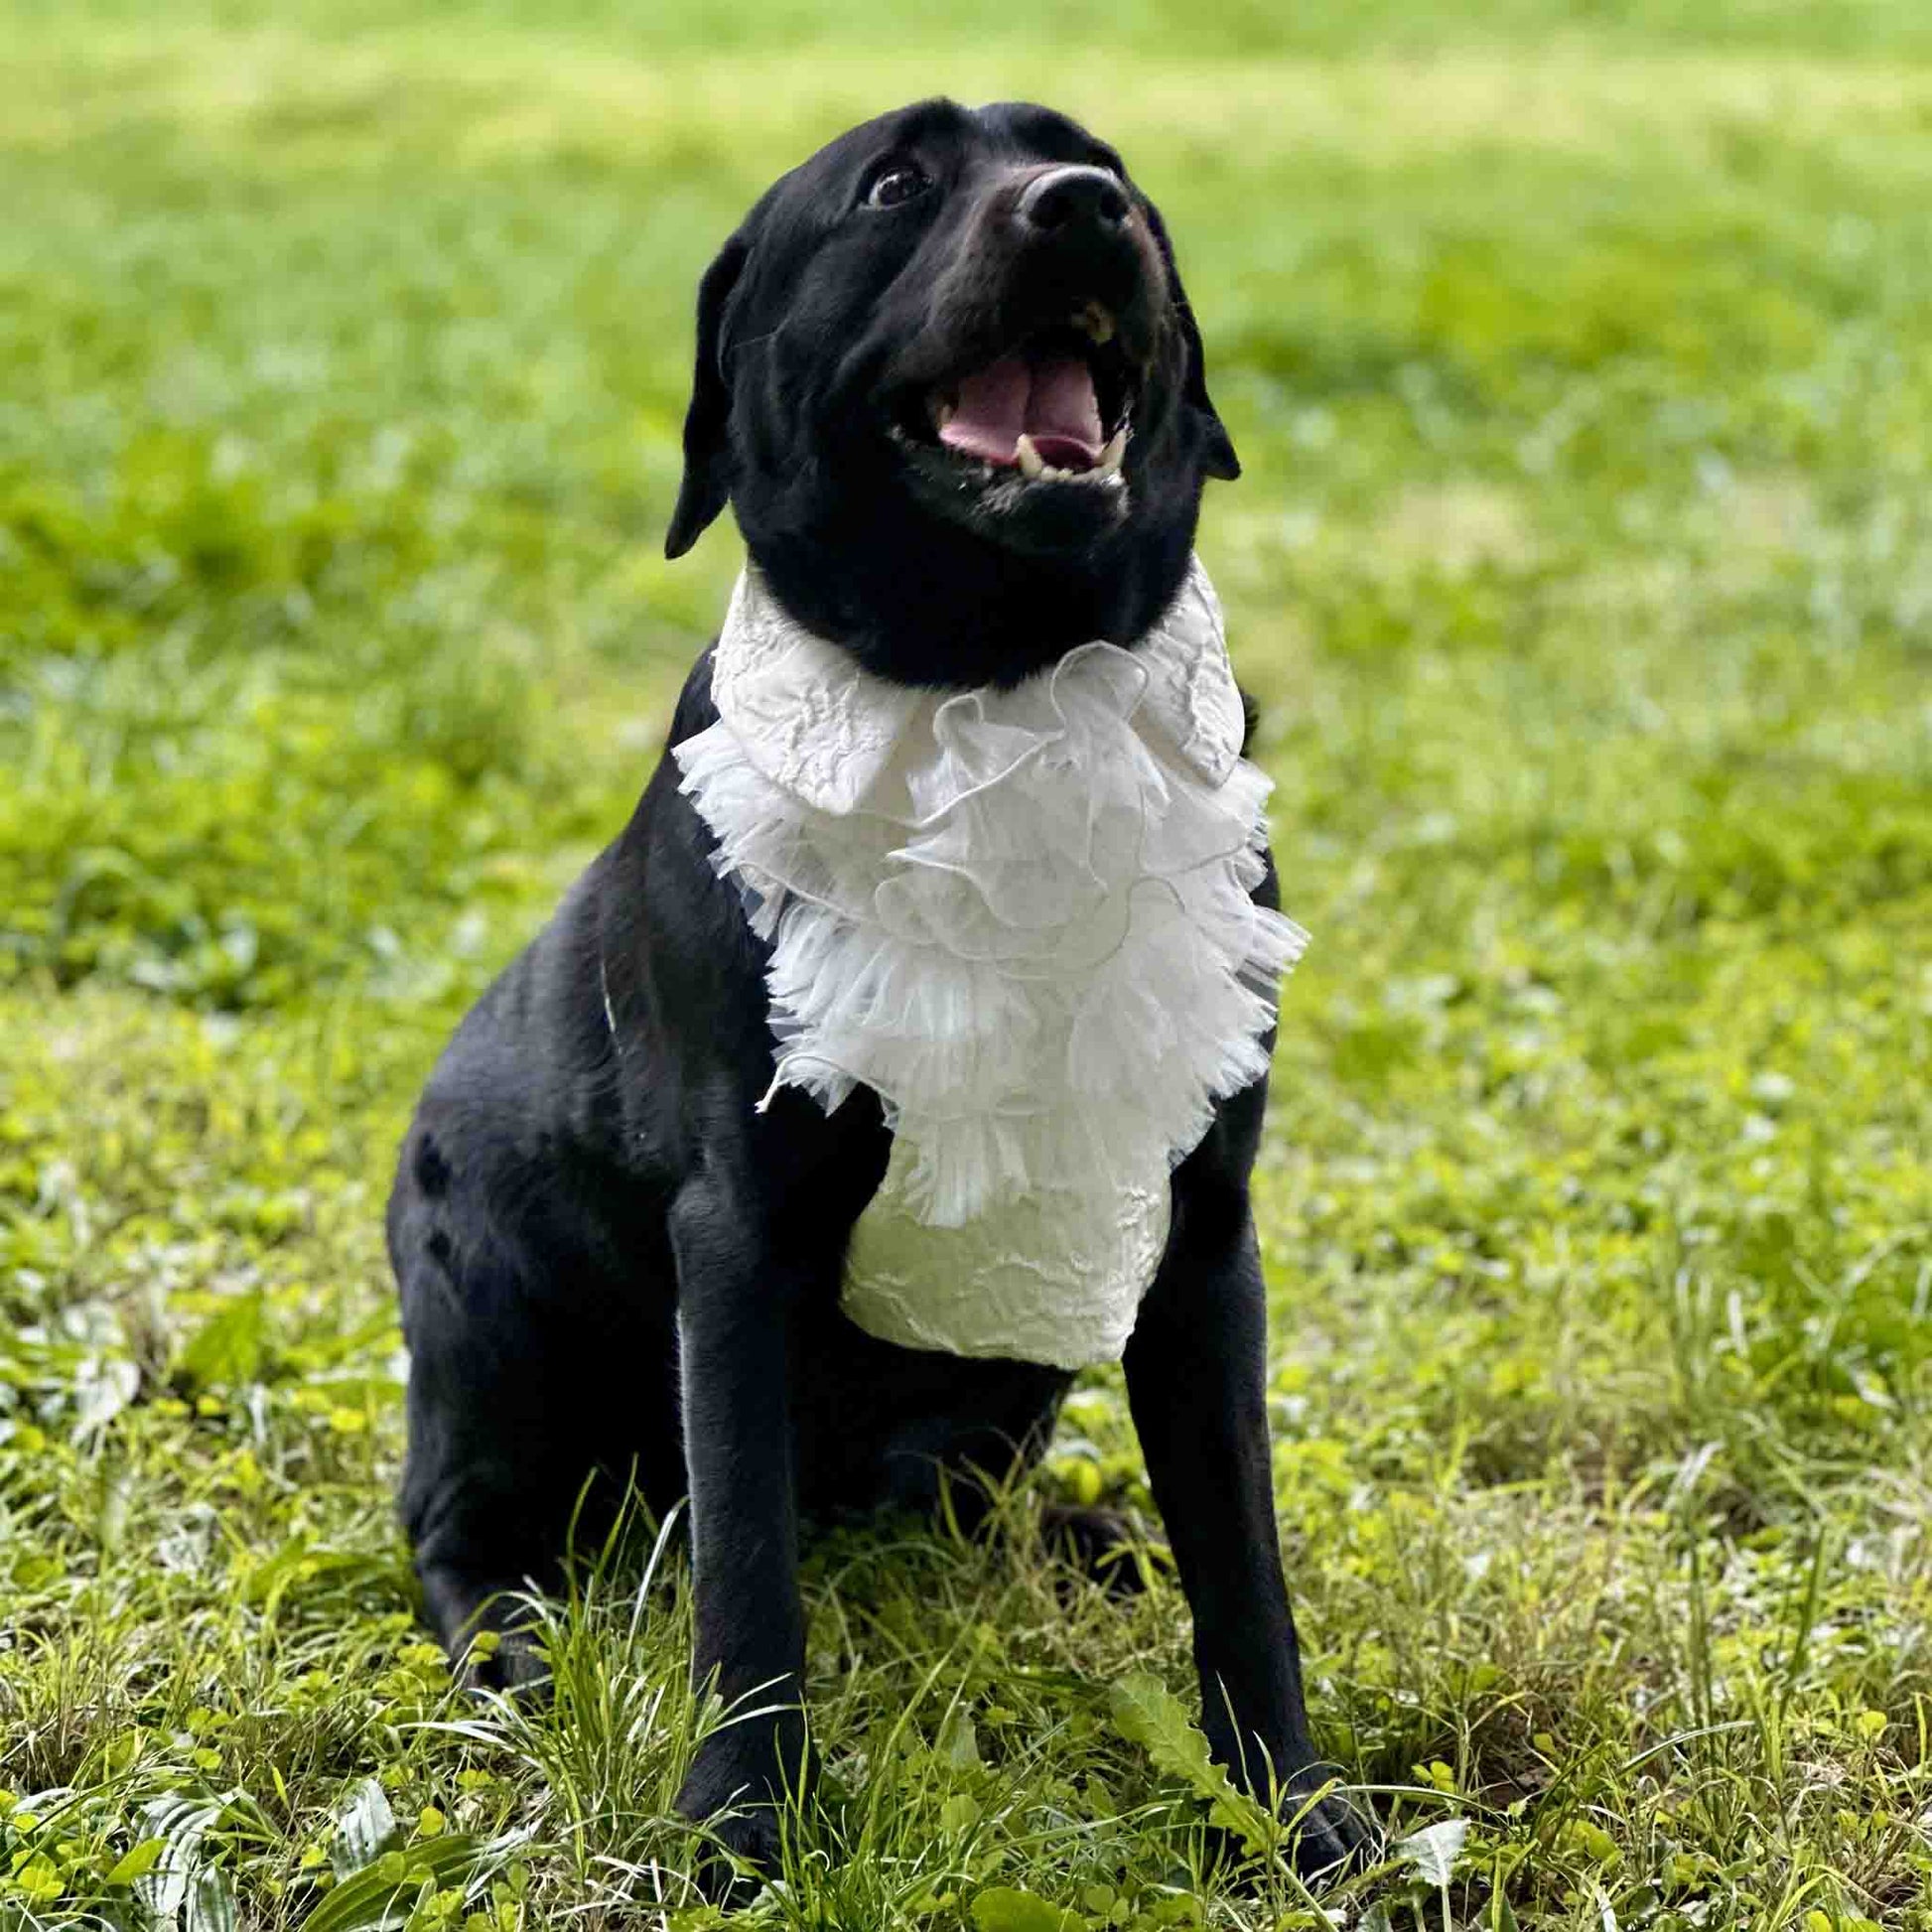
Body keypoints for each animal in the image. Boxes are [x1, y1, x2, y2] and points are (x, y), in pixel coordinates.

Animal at [384, 97, 1367, 1877]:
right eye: (895, 186)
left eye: (1114, 172)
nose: (1083, 208)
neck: (1003, 690)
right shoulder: (739, 1239)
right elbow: (747, 1585)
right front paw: (740, 1823)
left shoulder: (1203, 1235)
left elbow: (1241, 1560)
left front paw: (1295, 1807)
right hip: (495, 1310)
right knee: (458, 1526)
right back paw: (512, 1648)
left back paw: (1082, 1536)